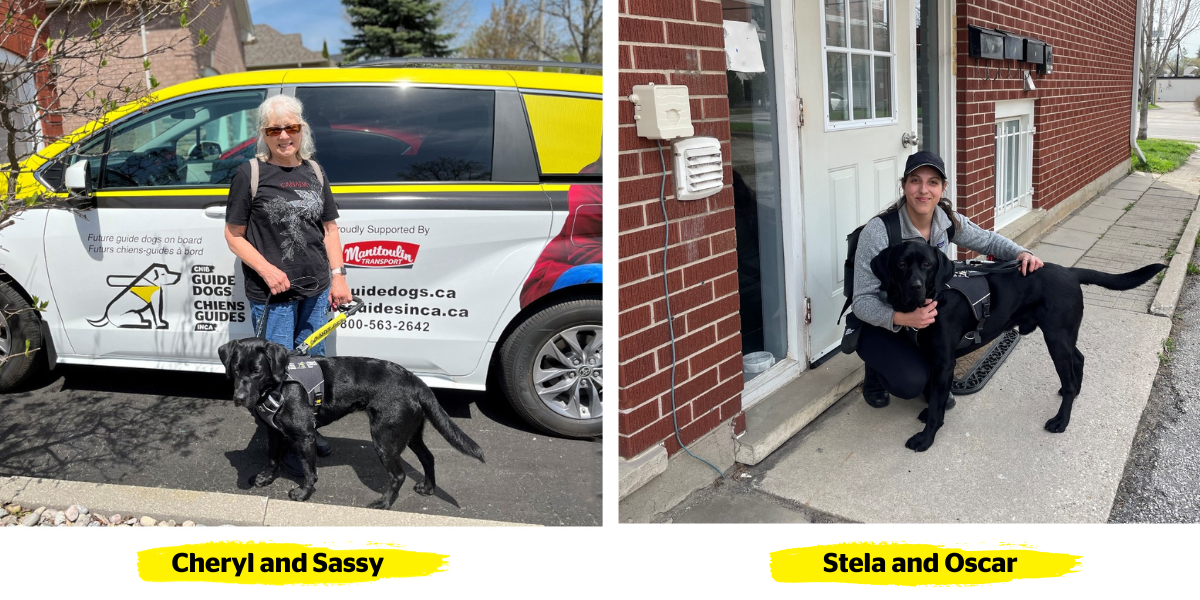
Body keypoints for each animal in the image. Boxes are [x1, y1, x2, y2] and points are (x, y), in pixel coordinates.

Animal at [216, 338, 482, 506]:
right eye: (236, 369)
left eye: (257, 371)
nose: (238, 398)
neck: (279, 385)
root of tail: (416, 380)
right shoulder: (274, 432)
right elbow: (272, 457)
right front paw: (266, 478)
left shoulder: (305, 435)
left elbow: (309, 471)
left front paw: (304, 494)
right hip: (409, 433)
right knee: (428, 457)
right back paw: (428, 488)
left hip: (385, 438)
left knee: (398, 475)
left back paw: (383, 503)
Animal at [873, 241, 1161, 451]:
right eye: (900, 263)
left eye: (928, 264)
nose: (915, 287)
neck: (934, 299)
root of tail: (1070, 271)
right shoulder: (931, 358)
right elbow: (933, 394)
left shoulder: (944, 362)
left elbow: (936, 403)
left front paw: (926, 438)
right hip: (1064, 335)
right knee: (1078, 359)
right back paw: (1074, 392)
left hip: (1056, 338)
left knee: (1069, 374)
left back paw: (1062, 420)